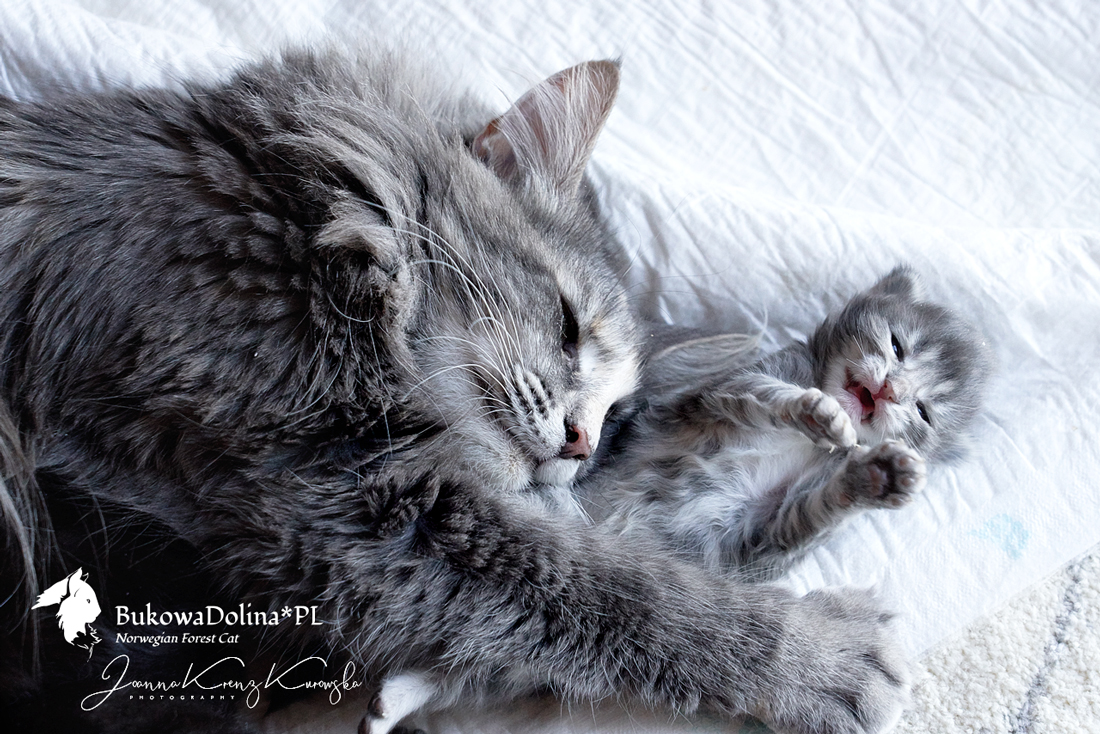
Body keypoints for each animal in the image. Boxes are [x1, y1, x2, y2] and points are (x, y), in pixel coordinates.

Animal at [0, 47, 909, 734]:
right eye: (568, 326)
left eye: (616, 420)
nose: (580, 443)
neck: (299, 222)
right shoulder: (351, 505)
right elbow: (626, 594)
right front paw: (823, 656)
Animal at [581, 267, 993, 580]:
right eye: (896, 346)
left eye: (923, 411)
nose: (891, 389)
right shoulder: (711, 394)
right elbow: (764, 394)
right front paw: (814, 411)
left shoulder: (750, 546)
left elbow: (813, 512)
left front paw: (878, 476)